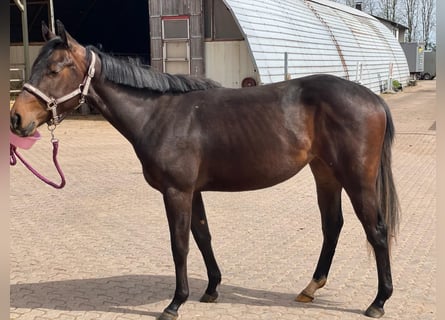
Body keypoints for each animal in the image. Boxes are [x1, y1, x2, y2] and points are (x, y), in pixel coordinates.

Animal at [9, 21, 398, 318]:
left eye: (54, 70)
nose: (16, 119)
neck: (159, 115)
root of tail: (373, 98)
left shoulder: (176, 191)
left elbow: (179, 244)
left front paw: (175, 303)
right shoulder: (193, 191)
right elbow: (202, 236)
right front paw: (211, 289)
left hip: (356, 179)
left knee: (376, 230)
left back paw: (378, 301)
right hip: (325, 174)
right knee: (332, 226)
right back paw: (310, 287)